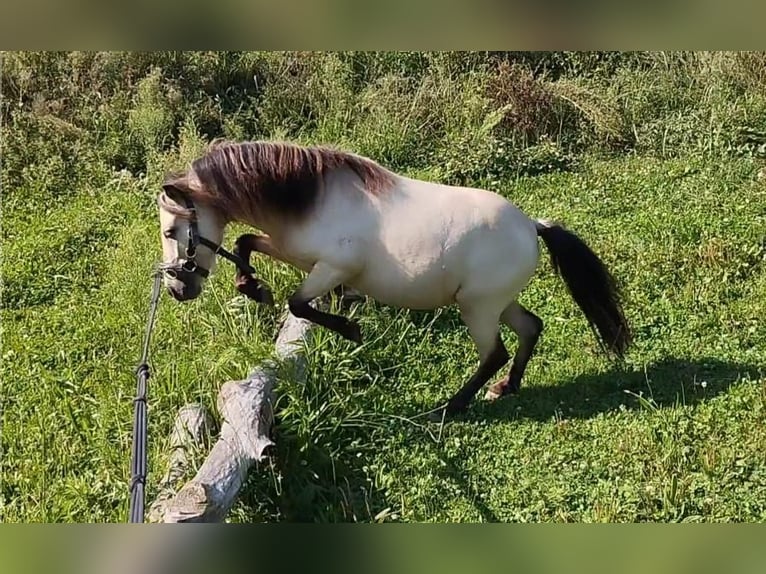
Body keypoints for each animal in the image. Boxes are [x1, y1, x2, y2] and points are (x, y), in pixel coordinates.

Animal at [157, 139, 631, 420]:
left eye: (170, 231)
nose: (178, 289)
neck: (311, 198)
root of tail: (533, 226)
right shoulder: (298, 253)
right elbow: (246, 242)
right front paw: (252, 287)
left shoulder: (333, 267)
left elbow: (299, 303)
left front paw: (350, 329)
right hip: (496, 303)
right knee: (531, 328)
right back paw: (505, 388)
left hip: (477, 308)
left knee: (495, 352)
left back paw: (451, 406)